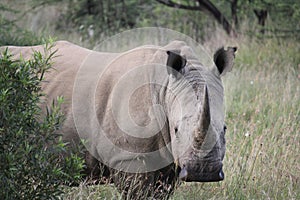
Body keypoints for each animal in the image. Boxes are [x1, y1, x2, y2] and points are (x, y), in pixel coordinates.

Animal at [1, 41, 237, 198]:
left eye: (225, 129)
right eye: (177, 130)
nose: (204, 172)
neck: (164, 89)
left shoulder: (170, 162)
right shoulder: (128, 160)